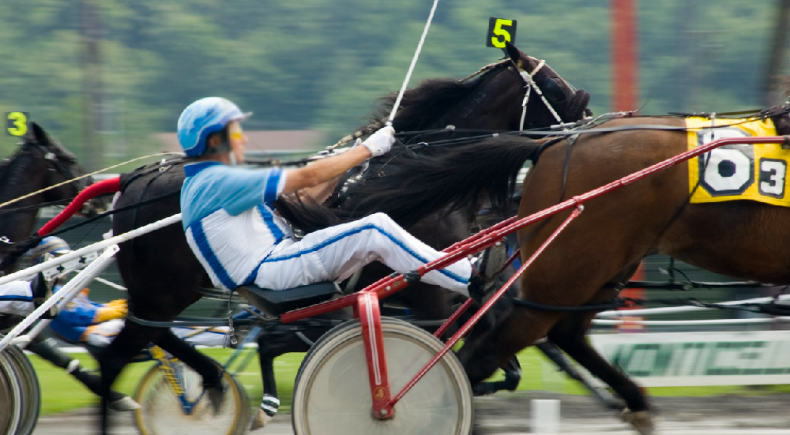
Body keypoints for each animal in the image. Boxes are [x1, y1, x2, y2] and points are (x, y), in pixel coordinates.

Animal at [99, 43, 592, 432]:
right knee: (119, 355)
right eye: (554, 85)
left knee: (150, 341)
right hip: (162, 293)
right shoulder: (424, 301)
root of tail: (136, 179)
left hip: (160, 298)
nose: (588, 118)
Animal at [458, 107, 790, 434]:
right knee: (489, 351)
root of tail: (555, 145)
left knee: (566, 334)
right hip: (566, 274)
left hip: (602, 269)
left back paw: (636, 403)